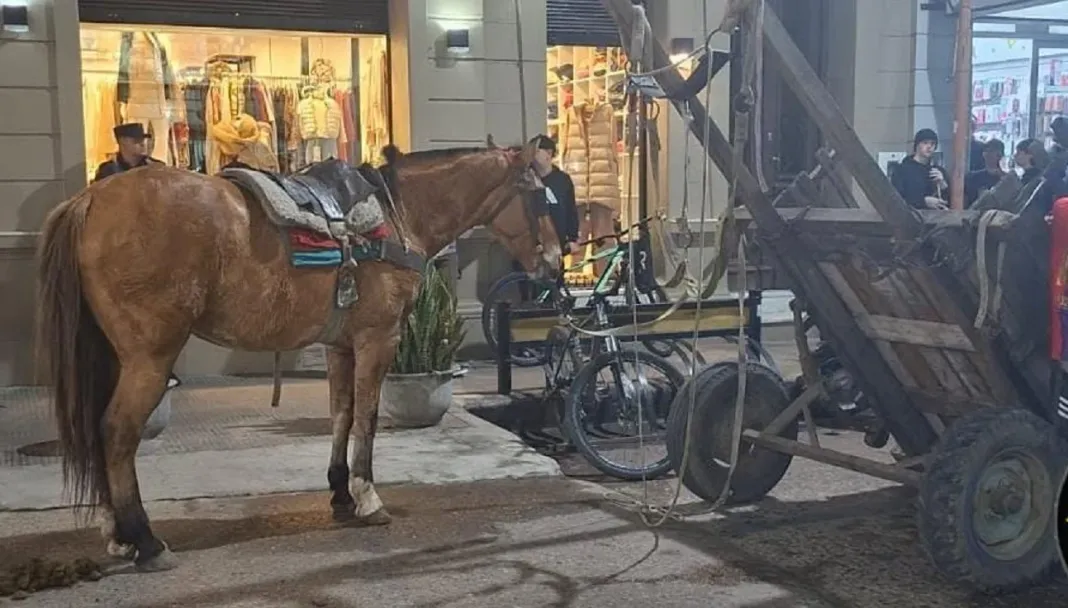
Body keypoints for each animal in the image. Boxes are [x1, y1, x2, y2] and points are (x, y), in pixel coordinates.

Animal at [35, 141, 562, 572]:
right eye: (539, 195)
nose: (558, 260)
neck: (398, 216)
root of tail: (89, 200)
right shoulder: (378, 339)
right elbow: (367, 418)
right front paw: (367, 496)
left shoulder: (339, 344)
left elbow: (341, 414)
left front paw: (340, 492)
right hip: (150, 357)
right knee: (117, 432)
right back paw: (144, 540)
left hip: (111, 356)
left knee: (96, 429)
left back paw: (119, 534)